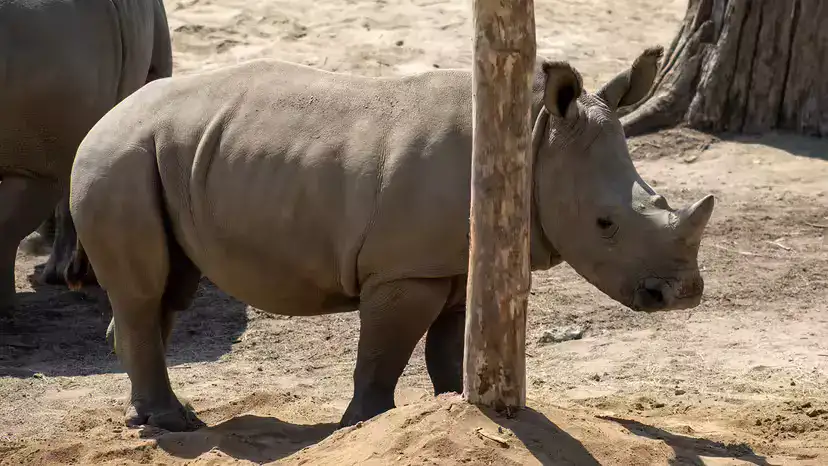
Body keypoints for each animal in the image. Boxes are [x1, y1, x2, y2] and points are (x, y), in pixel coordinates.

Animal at [68, 46, 715, 431]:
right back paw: (173, 424)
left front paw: (461, 405)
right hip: (117, 159)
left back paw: (154, 417)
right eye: (605, 224)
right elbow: (385, 350)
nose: (681, 295)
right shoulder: (406, 268)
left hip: (157, 156)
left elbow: (450, 346)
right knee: (147, 290)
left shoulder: (456, 260)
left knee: (169, 288)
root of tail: (103, 118)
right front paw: (362, 424)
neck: (534, 141)